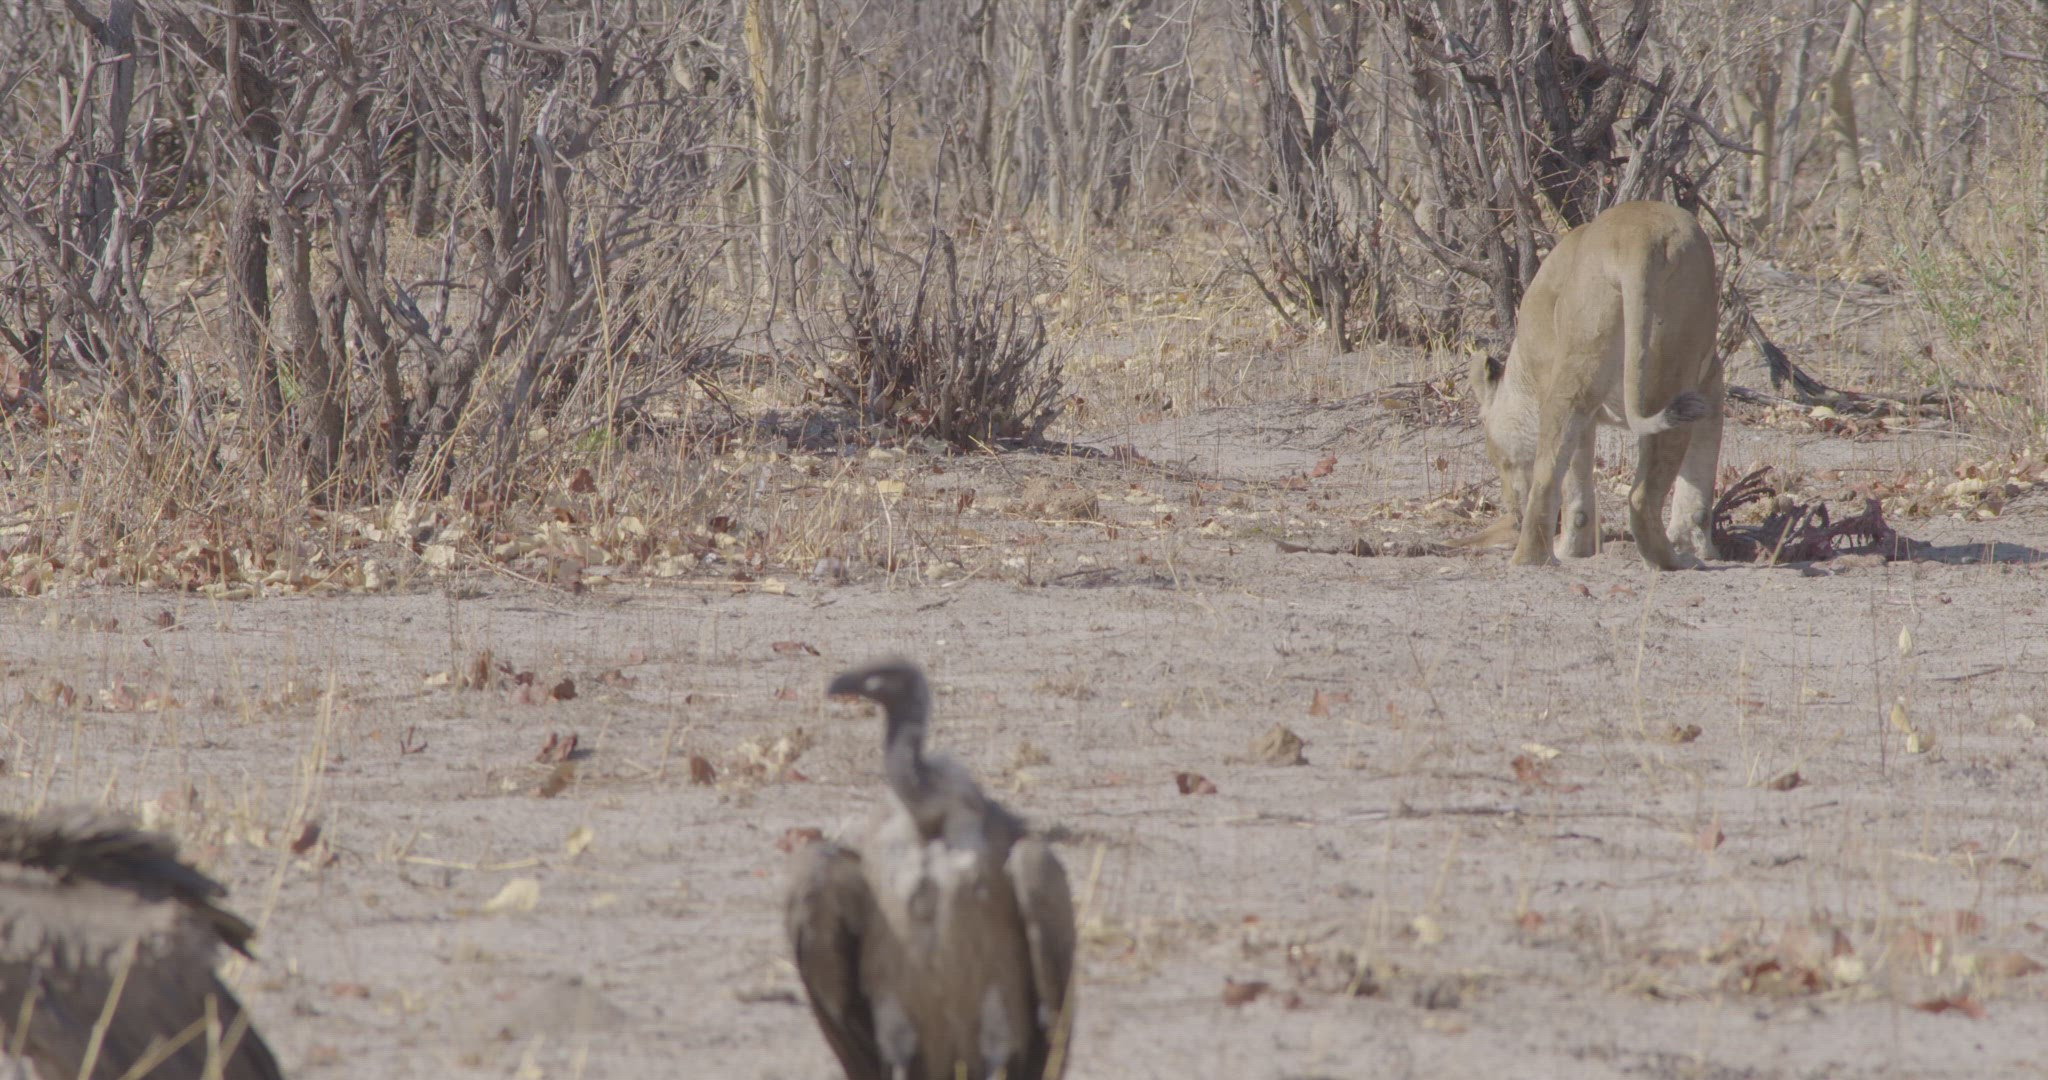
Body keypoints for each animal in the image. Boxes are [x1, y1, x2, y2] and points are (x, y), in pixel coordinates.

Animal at [1466, 200, 1723, 570]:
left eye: (1500, 460)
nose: (1511, 512)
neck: (1522, 373)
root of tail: (1637, 239)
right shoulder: (1712, 382)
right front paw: (1695, 545)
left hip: (1582, 366)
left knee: (1550, 477)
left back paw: (1533, 559)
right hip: (1673, 364)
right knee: (1642, 492)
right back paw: (1675, 560)